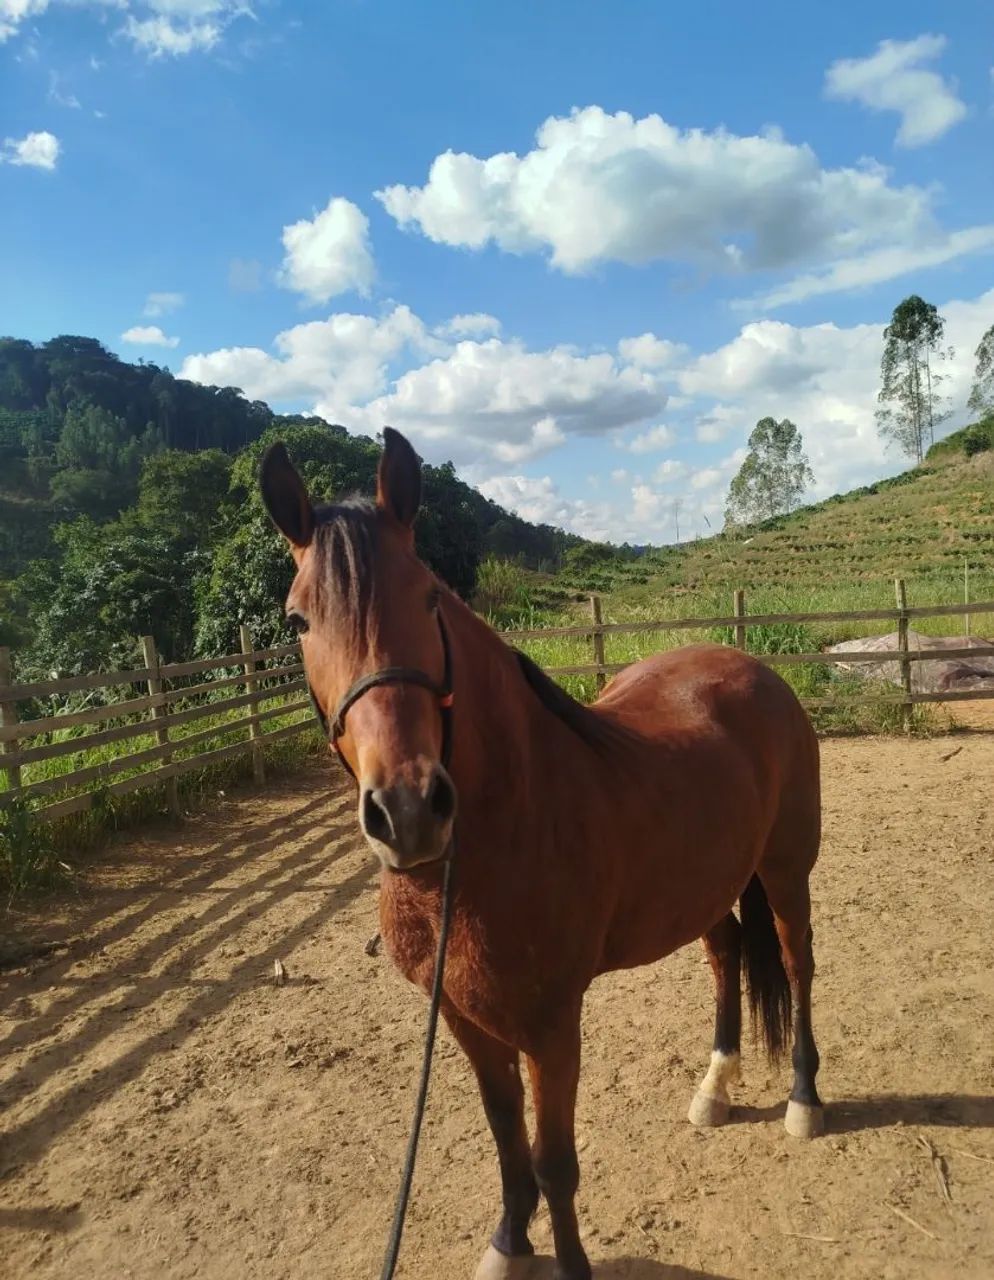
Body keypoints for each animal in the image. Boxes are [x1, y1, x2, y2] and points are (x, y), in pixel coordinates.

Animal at [259, 428, 824, 1280]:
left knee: (796, 963)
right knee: (726, 954)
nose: (409, 810)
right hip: (702, 886)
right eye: (298, 621)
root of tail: (754, 669)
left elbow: (557, 1161)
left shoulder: (551, 1030)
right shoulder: (464, 1021)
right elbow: (506, 1137)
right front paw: (508, 1243)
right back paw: (716, 1087)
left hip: (787, 872)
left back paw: (802, 1100)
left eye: (429, 598)